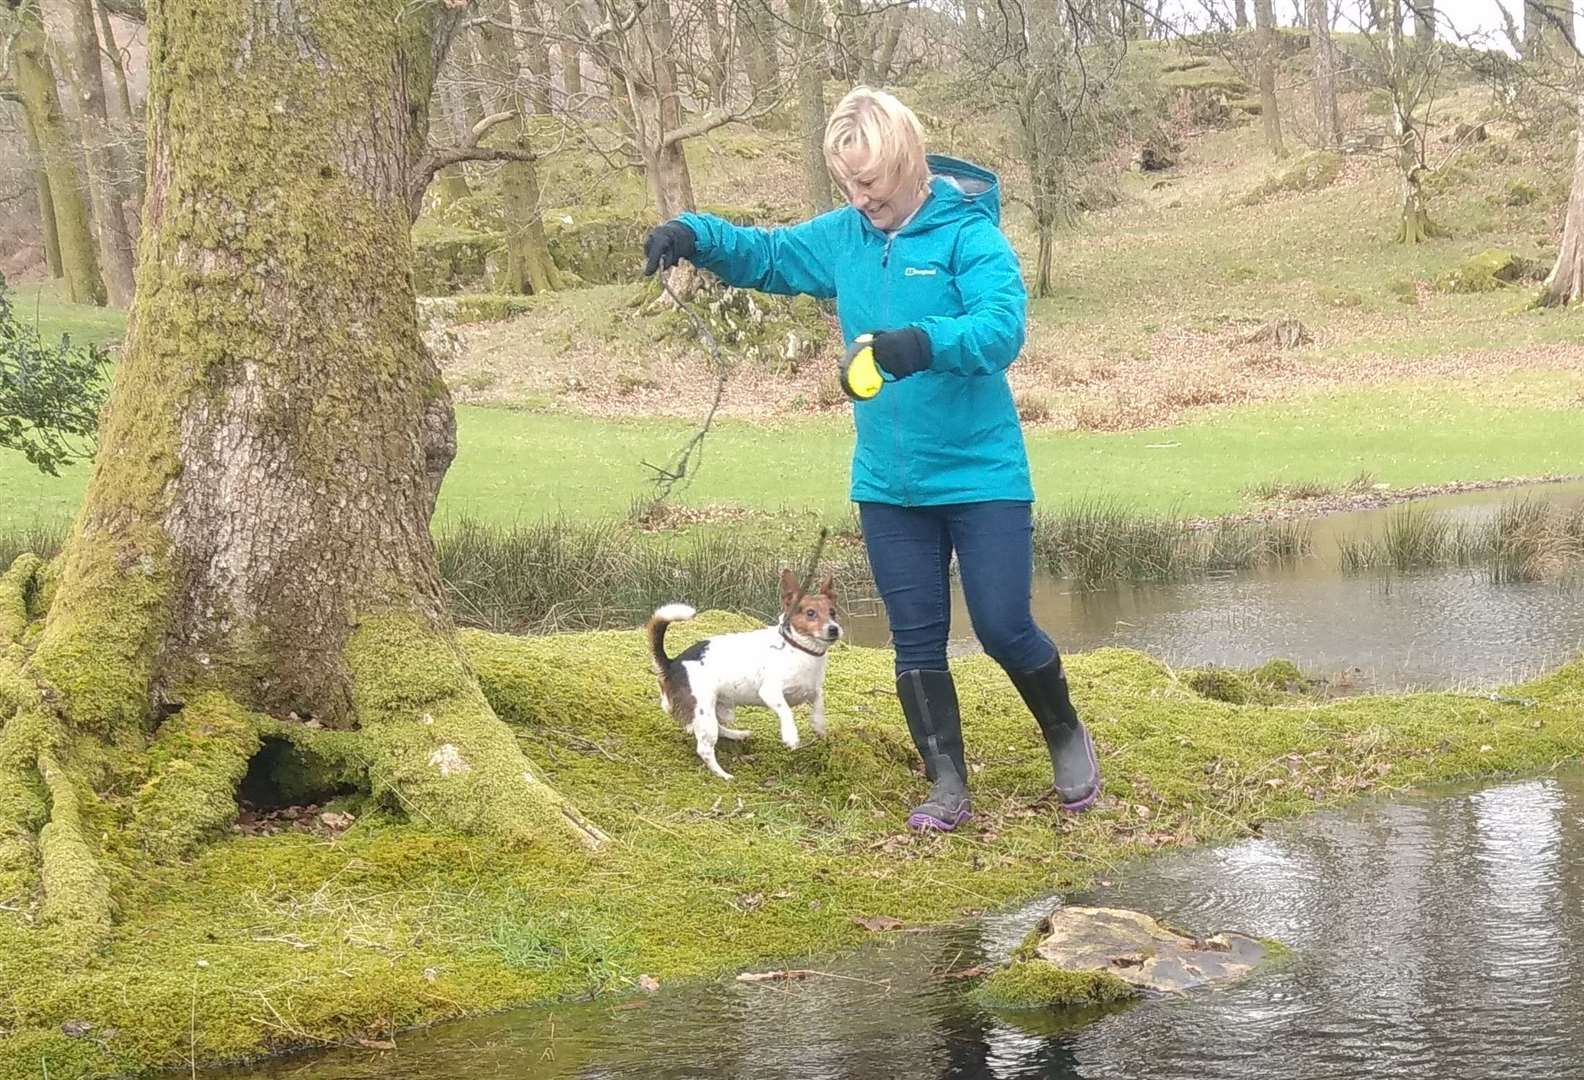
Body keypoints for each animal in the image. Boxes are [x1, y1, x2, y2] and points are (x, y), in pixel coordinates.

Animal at [643, 566, 842, 779]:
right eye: (810, 613)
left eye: (833, 612)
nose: (834, 629)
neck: (799, 648)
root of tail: (672, 664)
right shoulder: (770, 692)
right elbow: (786, 710)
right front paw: (791, 735)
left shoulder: (813, 690)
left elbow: (819, 705)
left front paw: (819, 727)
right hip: (704, 712)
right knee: (704, 749)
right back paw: (723, 775)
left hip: (713, 708)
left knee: (718, 728)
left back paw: (737, 735)